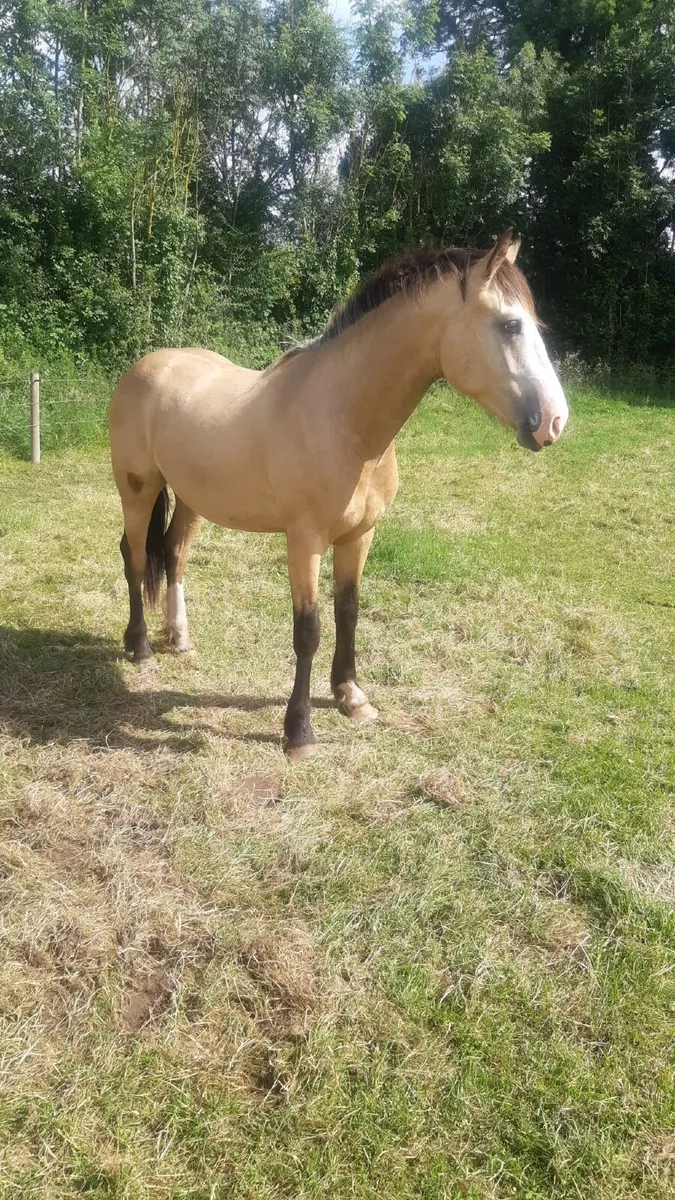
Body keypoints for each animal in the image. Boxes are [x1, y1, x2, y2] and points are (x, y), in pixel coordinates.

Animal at [109, 229, 568, 761]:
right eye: (510, 325)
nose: (555, 421)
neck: (344, 420)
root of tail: (148, 364)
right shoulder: (304, 541)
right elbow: (307, 630)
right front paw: (299, 732)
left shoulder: (359, 536)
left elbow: (348, 612)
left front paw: (351, 696)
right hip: (137, 490)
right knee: (134, 558)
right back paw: (141, 647)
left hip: (191, 499)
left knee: (174, 554)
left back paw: (179, 638)